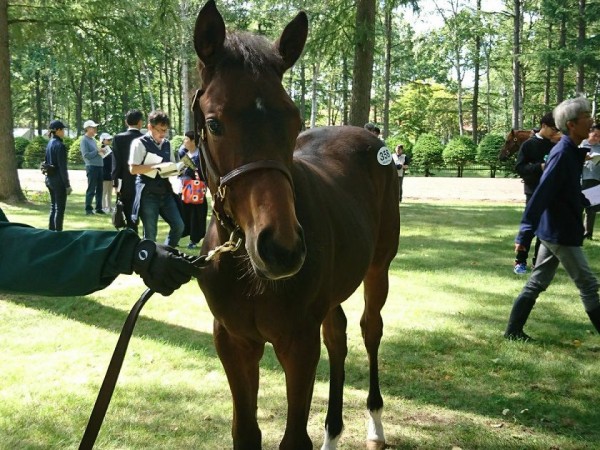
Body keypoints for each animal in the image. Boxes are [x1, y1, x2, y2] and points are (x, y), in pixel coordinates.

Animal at [192, 1, 398, 448]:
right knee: (337, 336)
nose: (280, 248)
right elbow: (245, 432)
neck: (245, 269)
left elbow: (293, 438)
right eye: (214, 123)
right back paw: (333, 432)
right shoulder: (233, 340)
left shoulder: (298, 342)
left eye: (293, 118)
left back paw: (374, 424)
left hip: (379, 268)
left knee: (370, 329)